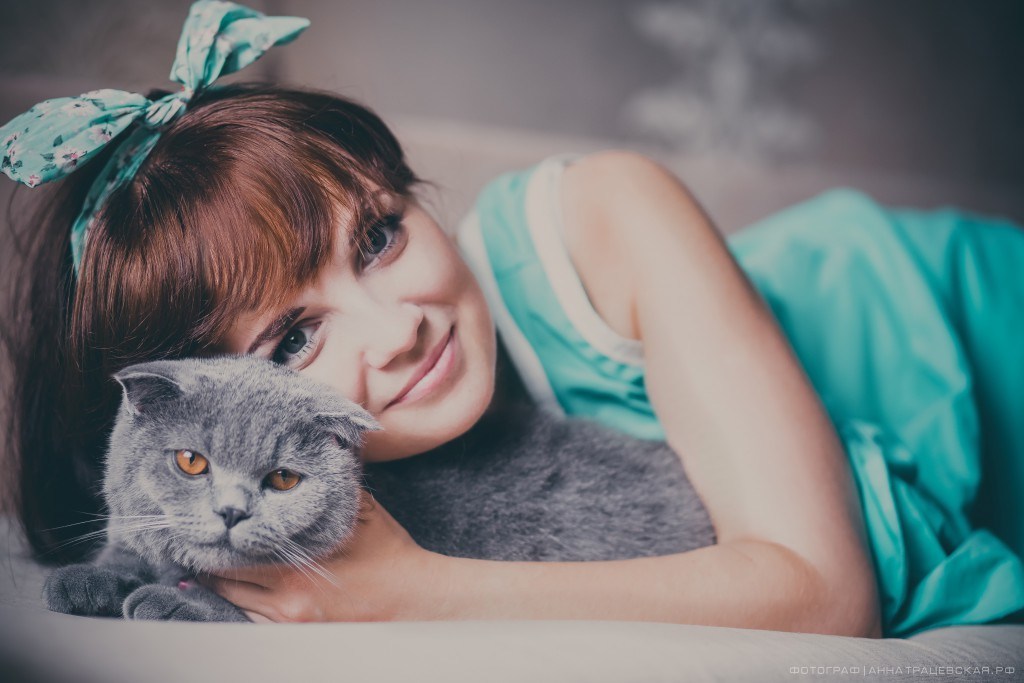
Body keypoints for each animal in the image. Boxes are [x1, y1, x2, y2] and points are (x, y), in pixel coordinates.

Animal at [43, 355, 715, 622]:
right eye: (190, 461)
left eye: (282, 479)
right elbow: (129, 543)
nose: (232, 511)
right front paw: (87, 579)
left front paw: (175, 601)